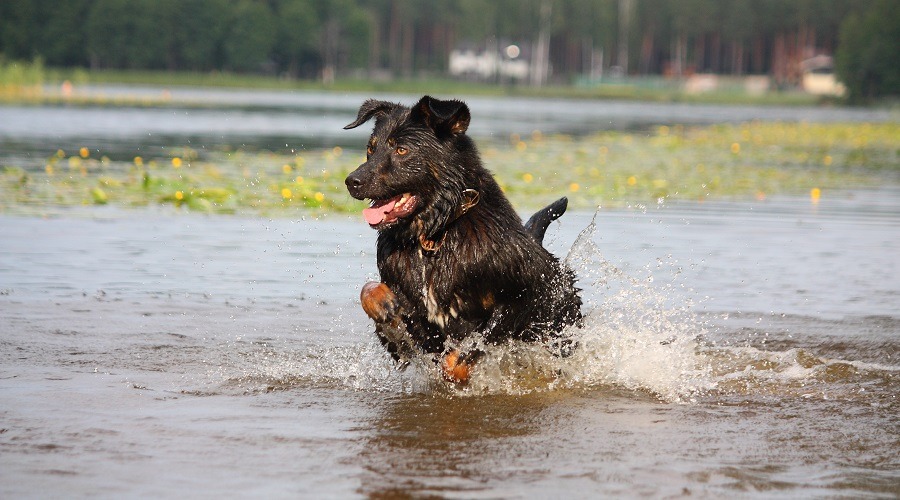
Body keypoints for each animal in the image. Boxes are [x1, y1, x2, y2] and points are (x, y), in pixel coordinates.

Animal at [344, 94, 584, 382]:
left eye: (401, 150)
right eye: (371, 149)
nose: (352, 181)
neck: (436, 234)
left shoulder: (520, 299)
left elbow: (461, 355)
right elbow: (371, 292)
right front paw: (383, 304)